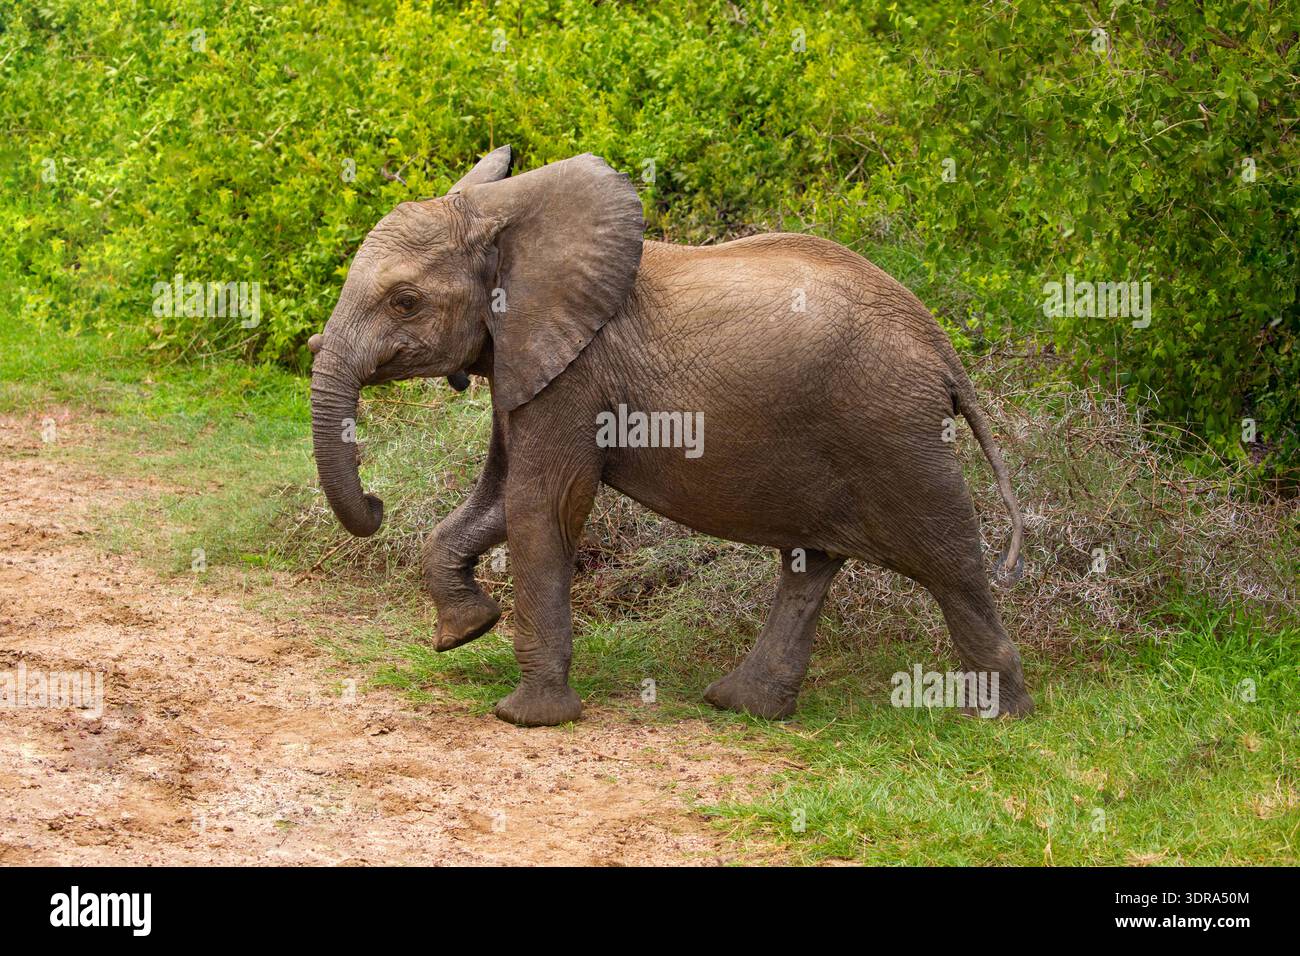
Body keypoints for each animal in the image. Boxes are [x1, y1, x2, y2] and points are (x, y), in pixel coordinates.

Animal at [309, 145, 1034, 727]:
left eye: (405, 301)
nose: (375, 503)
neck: (505, 218)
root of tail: (943, 352)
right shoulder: (527, 359)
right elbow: (494, 498)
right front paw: (462, 631)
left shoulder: (575, 371)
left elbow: (540, 505)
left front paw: (526, 718)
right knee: (811, 564)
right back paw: (742, 705)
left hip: (894, 429)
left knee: (951, 561)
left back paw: (999, 717)